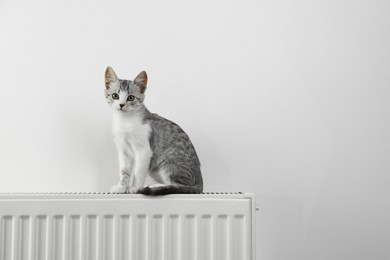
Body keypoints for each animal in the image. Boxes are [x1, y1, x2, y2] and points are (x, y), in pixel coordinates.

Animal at [103, 67, 204, 195]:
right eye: (115, 95)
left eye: (131, 97)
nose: (121, 105)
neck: (125, 121)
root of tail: (200, 183)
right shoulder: (123, 151)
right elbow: (124, 172)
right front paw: (121, 187)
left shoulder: (144, 151)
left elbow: (138, 171)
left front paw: (135, 187)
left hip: (169, 162)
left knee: (179, 187)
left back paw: (154, 186)